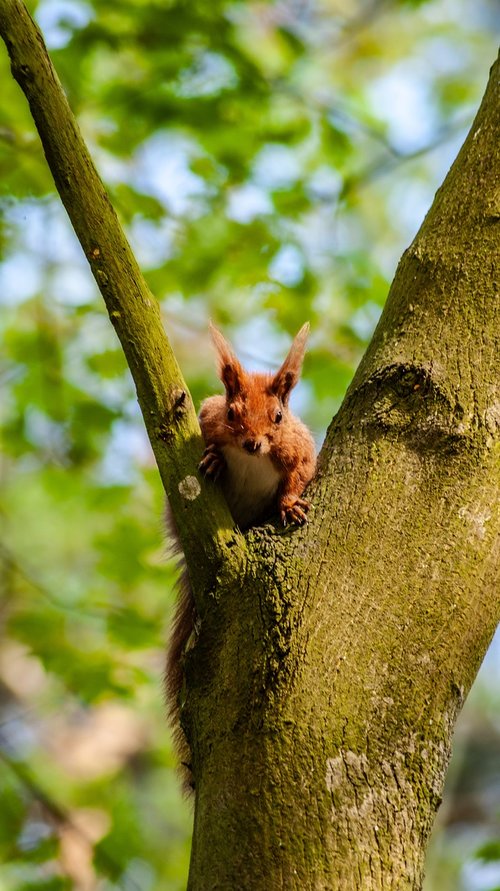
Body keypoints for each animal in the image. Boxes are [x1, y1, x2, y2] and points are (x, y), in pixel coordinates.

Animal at [167, 324, 316, 792]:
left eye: (279, 417)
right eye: (232, 413)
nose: (253, 444)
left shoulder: (299, 450)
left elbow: (299, 475)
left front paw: (289, 505)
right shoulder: (206, 420)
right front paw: (214, 458)